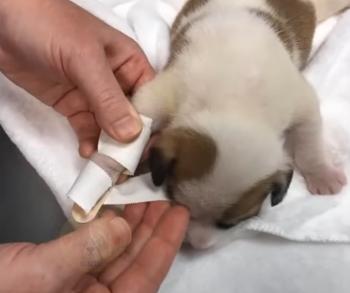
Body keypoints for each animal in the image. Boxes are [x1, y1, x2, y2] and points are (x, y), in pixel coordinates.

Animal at [133, 0, 348, 246]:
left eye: (229, 224)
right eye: (180, 205)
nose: (197, 245)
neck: (233, 100)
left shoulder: (299, 101)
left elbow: (308, 142)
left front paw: (322, 173)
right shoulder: (166, 93)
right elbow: (143, 110)